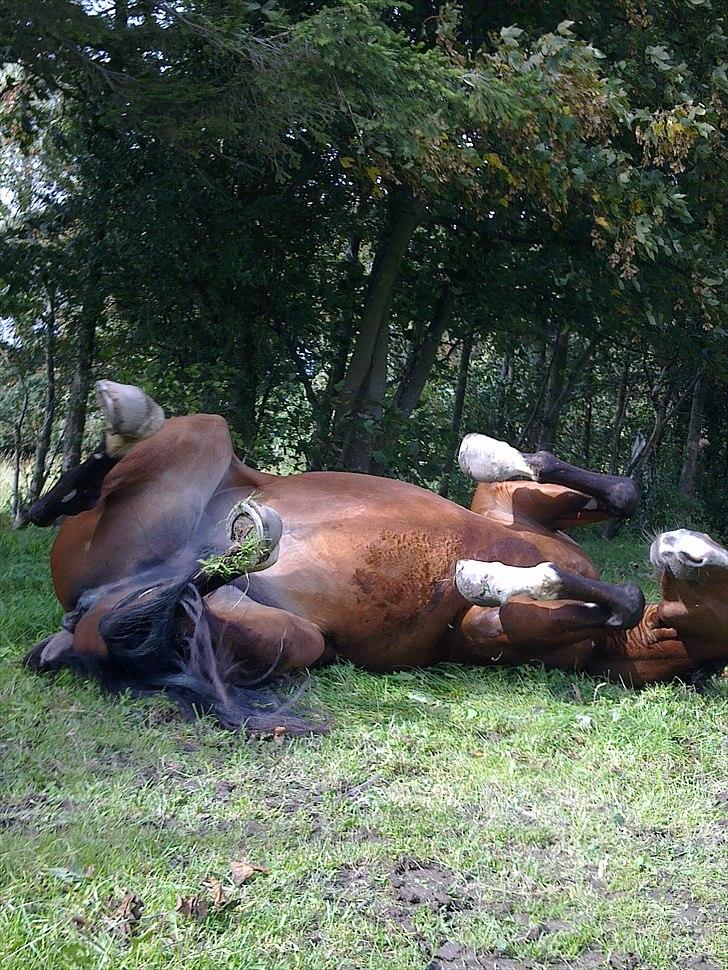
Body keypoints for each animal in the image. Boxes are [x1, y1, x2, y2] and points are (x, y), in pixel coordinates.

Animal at [24, 382, 728, 728]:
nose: (688, 550)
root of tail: (75, 616)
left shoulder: (494, 629)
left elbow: (611, 594)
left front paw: (486, 575)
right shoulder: (512, 509)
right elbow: (612, 489)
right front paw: (485, 451)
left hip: (289, 638)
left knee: (164, 611)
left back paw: (245, 541)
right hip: (199, 440)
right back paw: (122, 424)